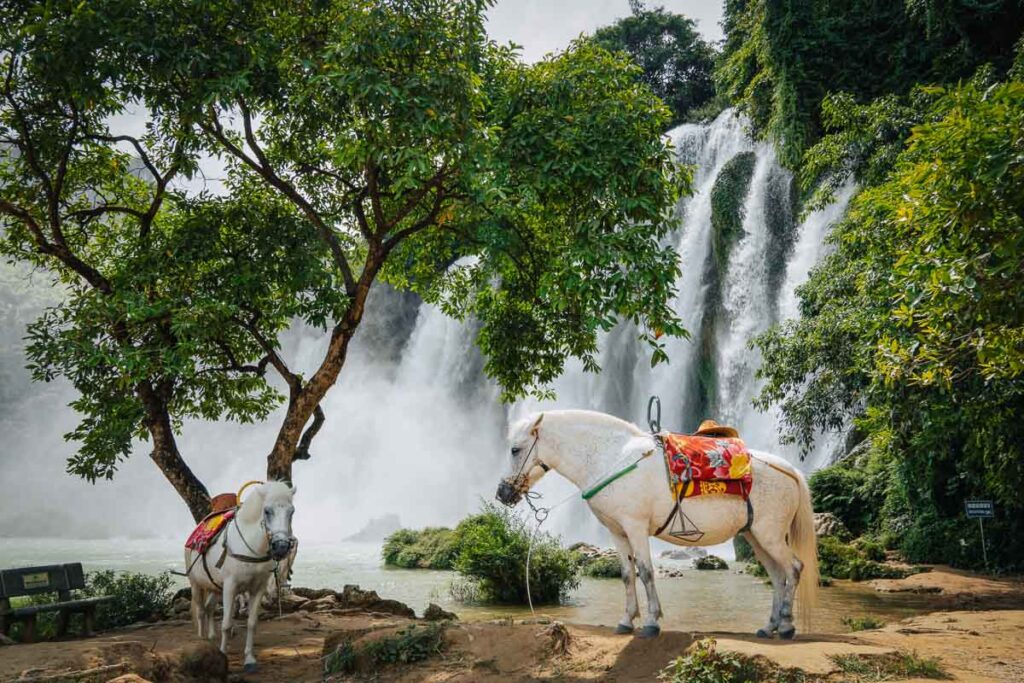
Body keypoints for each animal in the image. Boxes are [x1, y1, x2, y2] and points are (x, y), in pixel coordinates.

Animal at [186, 481, 296, 671]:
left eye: (292, 511)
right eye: (267, 511)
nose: (281, 546)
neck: (250, 547)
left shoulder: (257, 588)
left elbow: (252, 623)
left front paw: (249, 659)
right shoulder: (230, 587)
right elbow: (226, 624)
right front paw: (223, 655)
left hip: (215, 587)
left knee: (209, 608)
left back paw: (211, 638)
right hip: (196, 583)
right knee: (200, 611)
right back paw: (201, 641)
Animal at [493, 411, 815, 643]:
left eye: (515, 449)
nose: (503, 493)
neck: (612, 458)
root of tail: (791, 471)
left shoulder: (635, 528)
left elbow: (646, 572)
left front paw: (650, 623)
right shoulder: (617, 532)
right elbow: (627, 575)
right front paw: (625, 621)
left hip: (770, 535)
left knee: (793, 569)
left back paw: (787, 626)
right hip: (755, 537)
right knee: (777, 577)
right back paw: (769, 627)